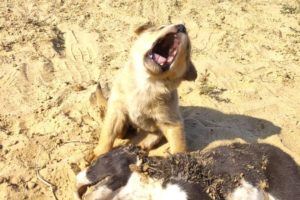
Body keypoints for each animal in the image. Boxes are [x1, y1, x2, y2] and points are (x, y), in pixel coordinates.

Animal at [92, 23, 198, 158]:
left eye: (188, 47)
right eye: (160, 27)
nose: (182, 26)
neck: (146, 83)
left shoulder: (172, 122)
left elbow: (179, 145)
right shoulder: (116, 110)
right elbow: (107, 136)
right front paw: (97, 154)